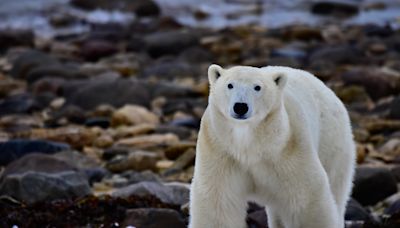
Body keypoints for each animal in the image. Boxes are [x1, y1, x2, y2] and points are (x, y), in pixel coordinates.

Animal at [189, 64, 354, 228]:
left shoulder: (288, 149)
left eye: (257, 87)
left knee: (336, 187)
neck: (250, 145)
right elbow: (218, 202)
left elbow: (307, 197)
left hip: (332, 141)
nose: (241, 106)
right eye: (230, 85)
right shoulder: (221, 150)